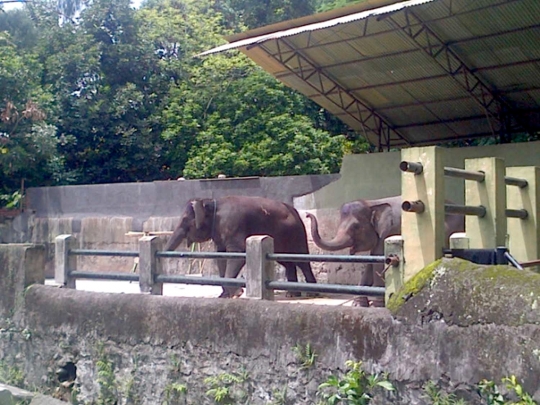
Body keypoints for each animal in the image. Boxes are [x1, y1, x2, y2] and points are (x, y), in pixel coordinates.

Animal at [165, 196, 316, 296]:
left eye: (185, 219)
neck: (212, 202)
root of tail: (295, 211)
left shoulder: (234, 225)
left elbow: (237, 254)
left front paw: (237, 293)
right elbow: (221, 257)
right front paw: (226, 295)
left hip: (297, 234)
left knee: (301, 260)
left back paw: (311, 293)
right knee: (287, 262)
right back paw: (292, 294)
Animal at [306, 196, 466, 306]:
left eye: (356, 227)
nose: (307, 214)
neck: (372, 203)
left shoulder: (390, 230)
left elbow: (378, 262)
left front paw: (377, 305)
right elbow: (371, 262)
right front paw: (358, 304)